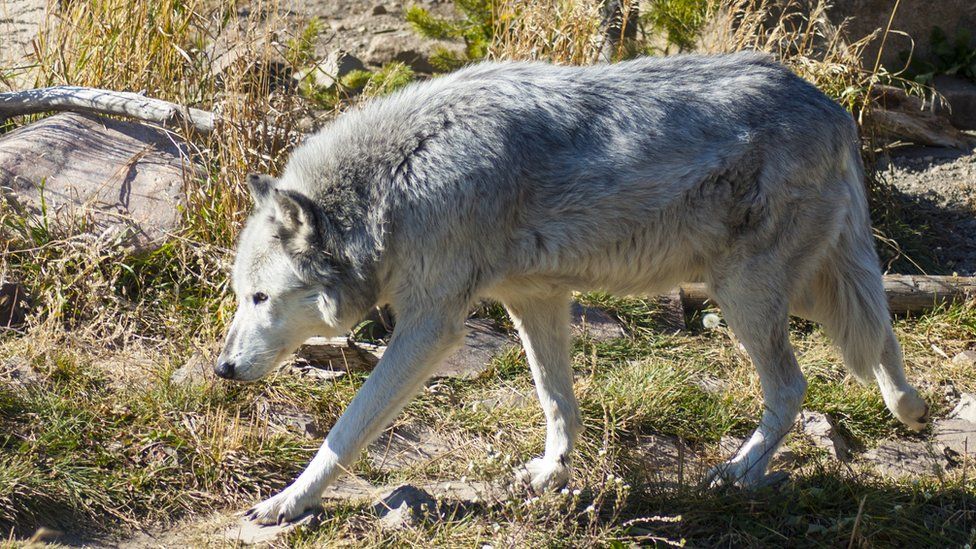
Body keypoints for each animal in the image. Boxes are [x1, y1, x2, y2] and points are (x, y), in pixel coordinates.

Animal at [215, 52, 932, 524]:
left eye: (259, 298)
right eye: (240, 296)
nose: (222, 368)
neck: (395, 185)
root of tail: (833, 108)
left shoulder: (430, 326)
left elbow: (347, 429)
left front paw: (286, 501)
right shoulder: (534, 299)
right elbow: (559, 402)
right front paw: (549, 473)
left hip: (745, 296)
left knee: (794, 384)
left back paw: (739, 472)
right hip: (805, 289)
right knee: (880, 336)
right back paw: (912, 409)